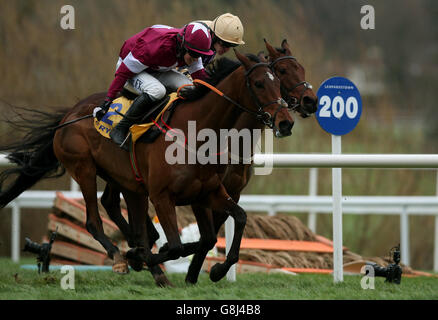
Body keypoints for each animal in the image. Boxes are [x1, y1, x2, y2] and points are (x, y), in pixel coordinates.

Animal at [0, 49, 294, 284]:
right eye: (259, 83)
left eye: (279, 82)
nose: (286, 122)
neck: (196, 130)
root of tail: (68, 116)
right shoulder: (162, 196)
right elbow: (175, 246)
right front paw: (139, 257)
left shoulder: (207, 193)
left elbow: (232, 223)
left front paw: (217, 270)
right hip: (84, 168)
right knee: (94, 221)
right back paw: (122, 257)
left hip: (126, 180)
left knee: (116, 207)